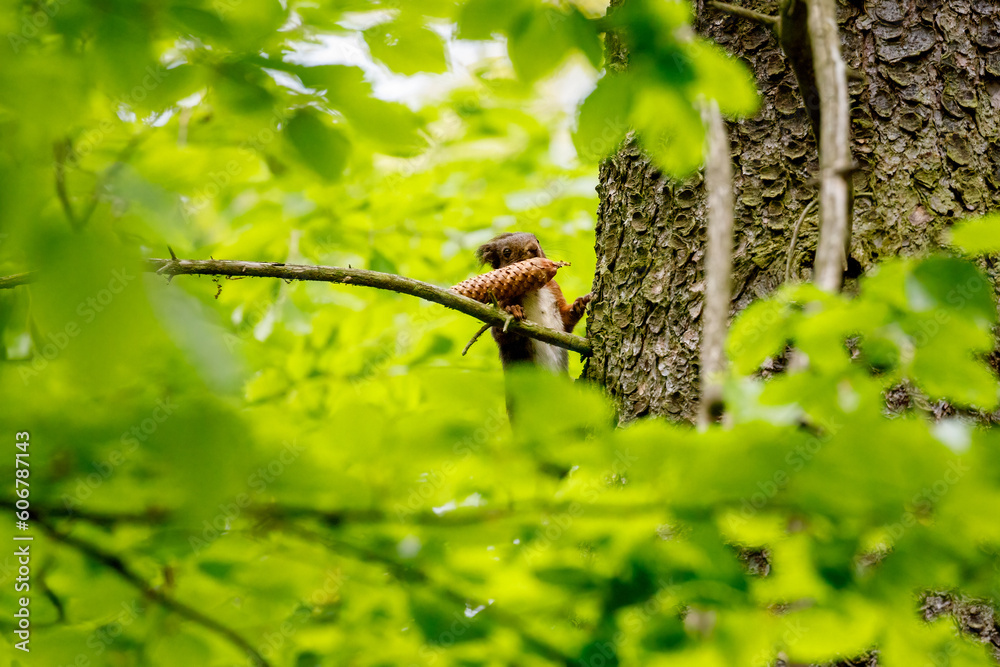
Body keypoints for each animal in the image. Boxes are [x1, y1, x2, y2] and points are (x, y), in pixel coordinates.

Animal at [475, 232, 591, 374]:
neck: (533, 288)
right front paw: (513, 309)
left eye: (537, 240)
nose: (533, 247)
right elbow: (501, 335)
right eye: (506, 252)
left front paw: (578, 304)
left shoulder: (555, 292)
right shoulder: (500, 303)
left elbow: (567, 322)